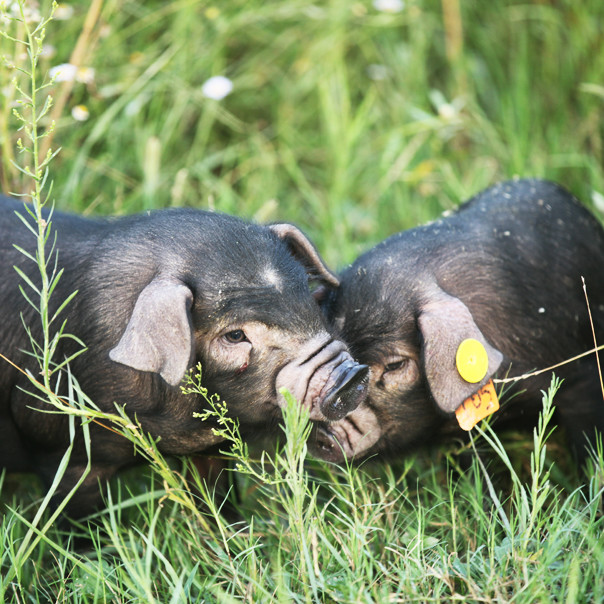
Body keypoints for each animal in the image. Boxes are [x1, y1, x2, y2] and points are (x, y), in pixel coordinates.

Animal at [1, 197, 368, 516]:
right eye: (235, 336)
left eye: (309, 299)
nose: (351, 375)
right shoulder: (62, 448)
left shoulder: (208, 449)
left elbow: (215, 496)